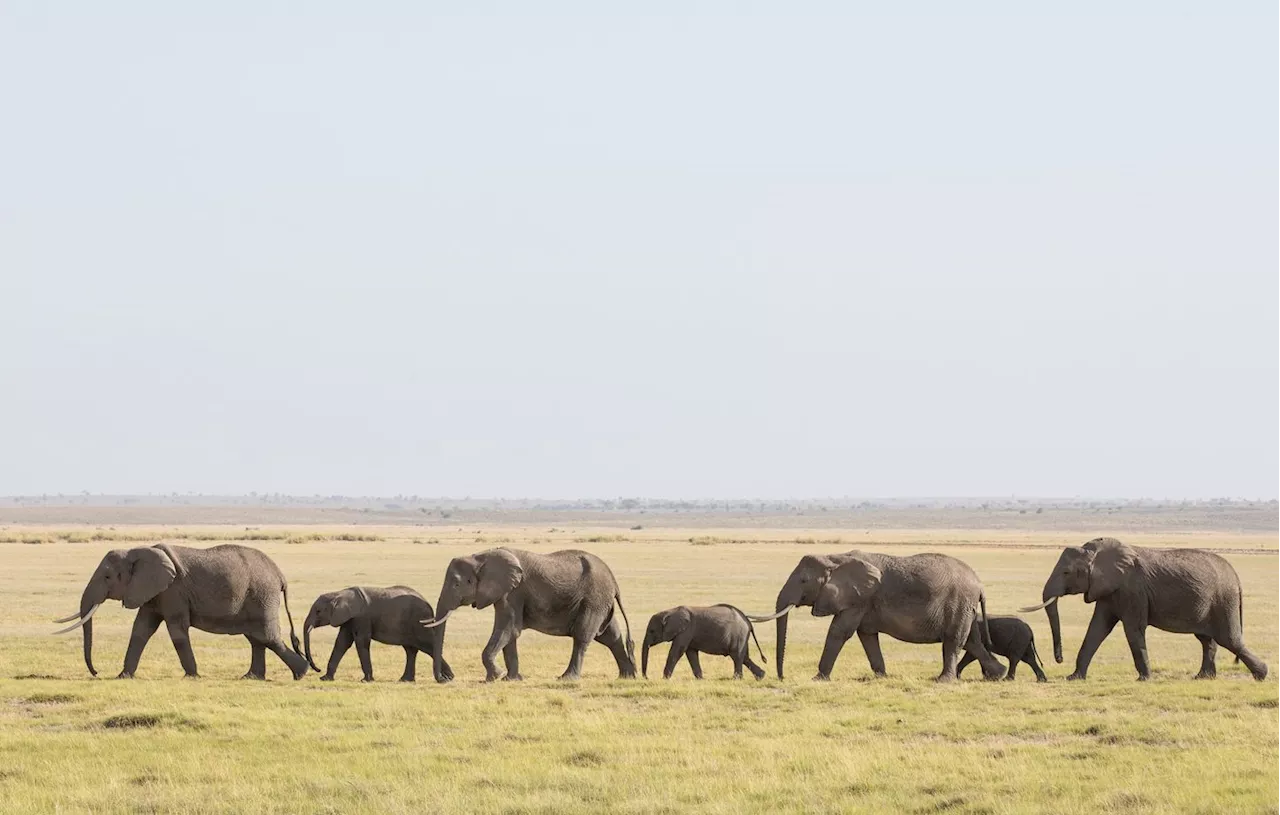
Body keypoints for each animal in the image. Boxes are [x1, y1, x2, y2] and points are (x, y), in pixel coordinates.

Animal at [54, 539, 309, 680]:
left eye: (108, 577)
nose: (96, 672)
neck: (136, 551)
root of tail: (280, 575)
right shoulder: (153, 591)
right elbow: (141, 629)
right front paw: (123, 676)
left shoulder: (172, 591)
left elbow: (176, 629)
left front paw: (192, 676)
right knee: (256, 638)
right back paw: (252, 677)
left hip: (261, 596)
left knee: (266, 637)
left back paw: (301, 673)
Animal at [300, 585, 455, 680]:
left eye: (318, 611)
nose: (317, 669)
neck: (339, 593)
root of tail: (428, 604)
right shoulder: (348, 618)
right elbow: (342, 643)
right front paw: (325, 679)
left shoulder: (361, 617)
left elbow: (361, 641)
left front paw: (366, 680)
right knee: (410, 650)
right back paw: (405, 680)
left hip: (419, 622)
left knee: (428, 646)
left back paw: (448, 678)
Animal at [422, 547, 637, 680]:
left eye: (457, 584)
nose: (446, 679)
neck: (481, 557)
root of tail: (613, 579)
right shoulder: (506, 593)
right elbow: (510, 633)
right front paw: (511, 679)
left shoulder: (513, 592)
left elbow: (508, 629)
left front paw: (495, 677)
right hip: (600, 601)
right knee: (611, 636)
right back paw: (627, 677)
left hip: (594, 598)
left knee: (583, 636)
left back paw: (566, 679)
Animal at [768, 552, 1008, 680]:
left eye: (803, 580)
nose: (782, 677)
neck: (834, 558)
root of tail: (979, 584)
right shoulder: (863, 603)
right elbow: (866, 635)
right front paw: (882, 677)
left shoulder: (858, 599)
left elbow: (839, 631)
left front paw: (818, 679)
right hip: (966, 608)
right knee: (972, 641)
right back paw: (999, 675)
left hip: (959, 603)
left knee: (953, 641)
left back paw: (943, 681)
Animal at [1018, 534, 1269, 680]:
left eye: (1066, 572)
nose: (1058, 660)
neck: (1097, 553)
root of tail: (1237, 578)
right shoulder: (1109, 589)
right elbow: (1097, 628)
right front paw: (1075, 678)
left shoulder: (1132, 590)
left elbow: (1132, 629)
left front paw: (1144, 679)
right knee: (1207, 640)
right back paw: (1202, 678)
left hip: (1223, 600)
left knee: (1229, 640)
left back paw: (1262, 675)